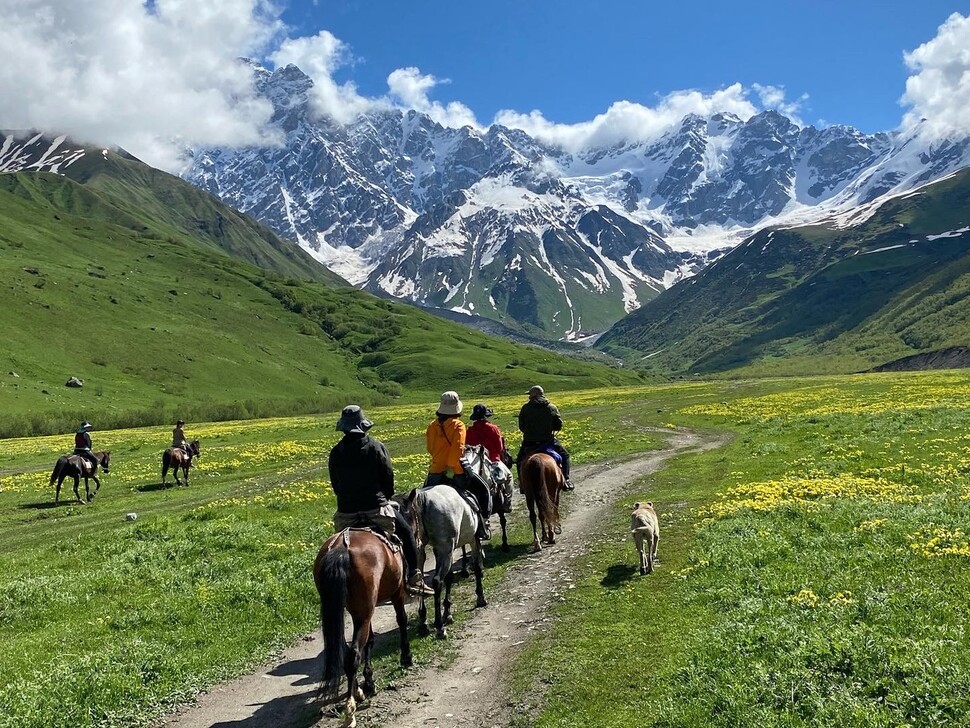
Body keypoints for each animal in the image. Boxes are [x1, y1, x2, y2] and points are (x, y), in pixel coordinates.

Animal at [314, 528, 412, 724]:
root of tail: (342, 547)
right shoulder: (397, 591)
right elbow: (401, 619)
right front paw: (406, 656)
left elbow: (370, 640)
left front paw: (369, 681)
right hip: (365, 611)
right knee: (353, 654)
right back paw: (350, 711)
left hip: (350, 610)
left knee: (346, 651)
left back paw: (357, 692)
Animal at [396, 486, 482, 640]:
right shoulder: (468, 541)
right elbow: (476, 567)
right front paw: (480, 597)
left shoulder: (437, 550)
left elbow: (448, 578)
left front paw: (447, 612)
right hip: (446, 549)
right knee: (436, 582)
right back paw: (439, 626)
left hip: (420, 551)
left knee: (422, 581)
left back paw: (423, 622)